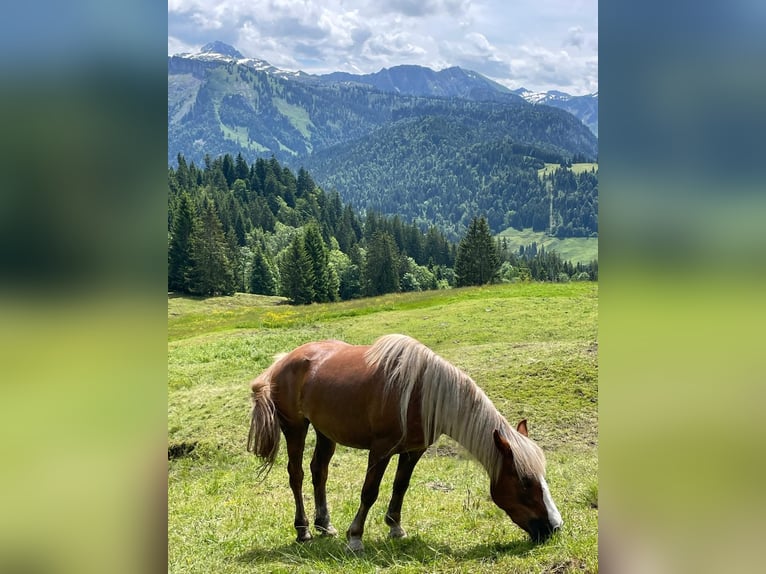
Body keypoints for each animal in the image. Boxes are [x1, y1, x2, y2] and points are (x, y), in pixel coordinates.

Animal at [248, 338, 564, 552]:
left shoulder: (413, 451)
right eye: (525, 482)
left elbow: (400, 486)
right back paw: (303, 531)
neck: (421, 394)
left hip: (326, 432)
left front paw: (395, 527)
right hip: (296, 428)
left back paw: (324, 524)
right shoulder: (380, 449)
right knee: (297, 475)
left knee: (319, 472)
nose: (555, 527)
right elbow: (369, 492)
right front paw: (356, 537)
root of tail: (283, 360)